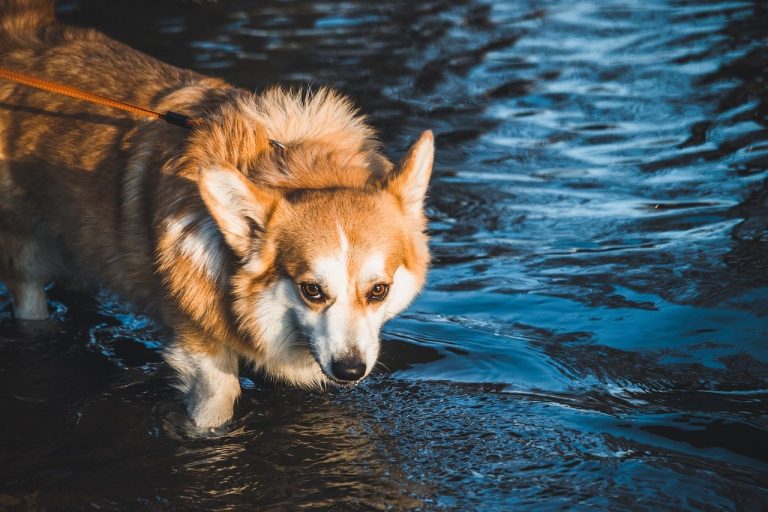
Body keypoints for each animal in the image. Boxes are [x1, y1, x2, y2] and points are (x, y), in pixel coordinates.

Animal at [0, 0, 432, 428]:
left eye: (379, 291)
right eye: (311, 290)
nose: (350, 370)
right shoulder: (199, 348)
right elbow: (219, 401)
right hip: (25, 251)